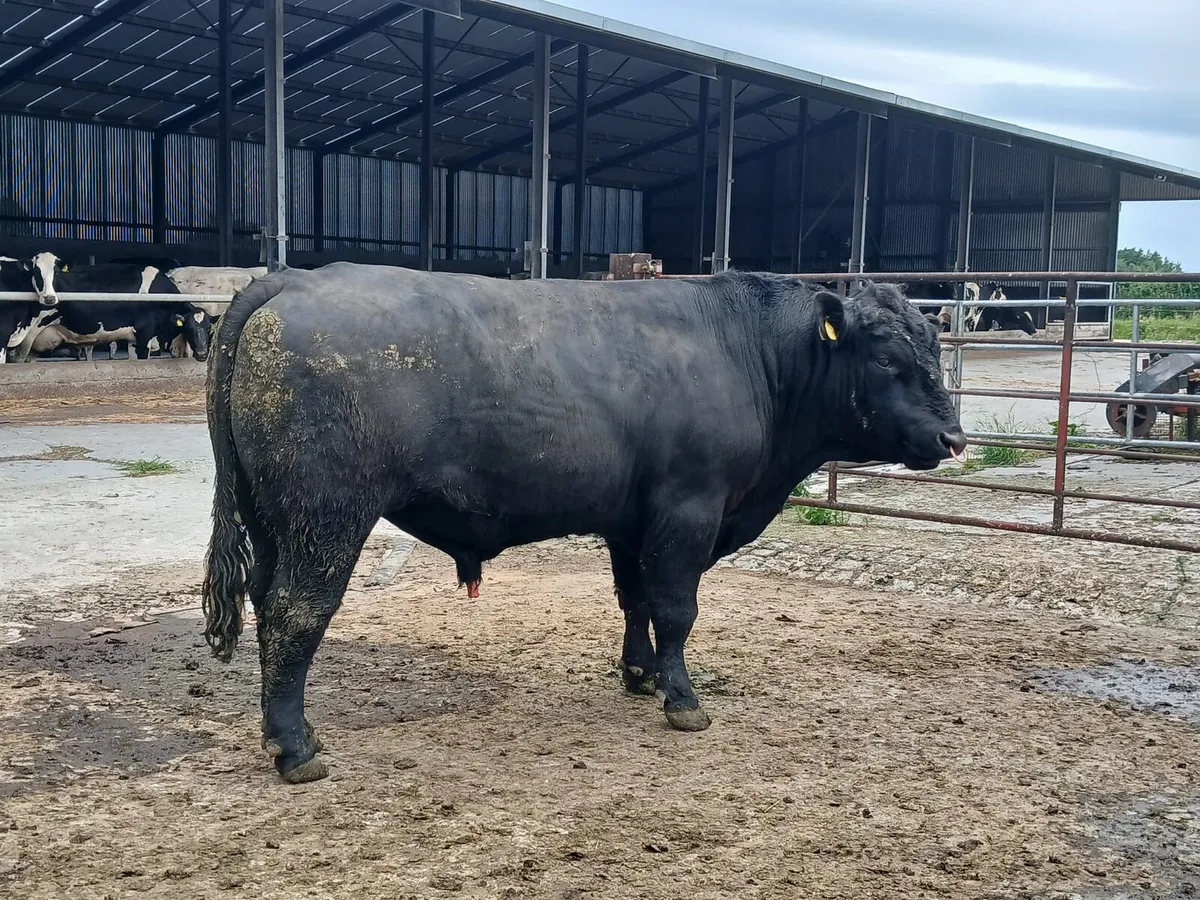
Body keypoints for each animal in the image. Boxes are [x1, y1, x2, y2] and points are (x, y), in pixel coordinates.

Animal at [199, 263, 967, 783]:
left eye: (934, 349)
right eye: (889, 358)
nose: (954, 438)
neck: (750, 352)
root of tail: (292, 280)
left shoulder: (634, 521)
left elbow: (637, 602)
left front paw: (641, 674)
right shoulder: (688, 509)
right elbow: (677, 608)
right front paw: (682, 699)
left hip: (273, 520)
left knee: (266, 603)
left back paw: (279, 732)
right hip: (327, 514)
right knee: (297, 612)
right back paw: (297, 748)